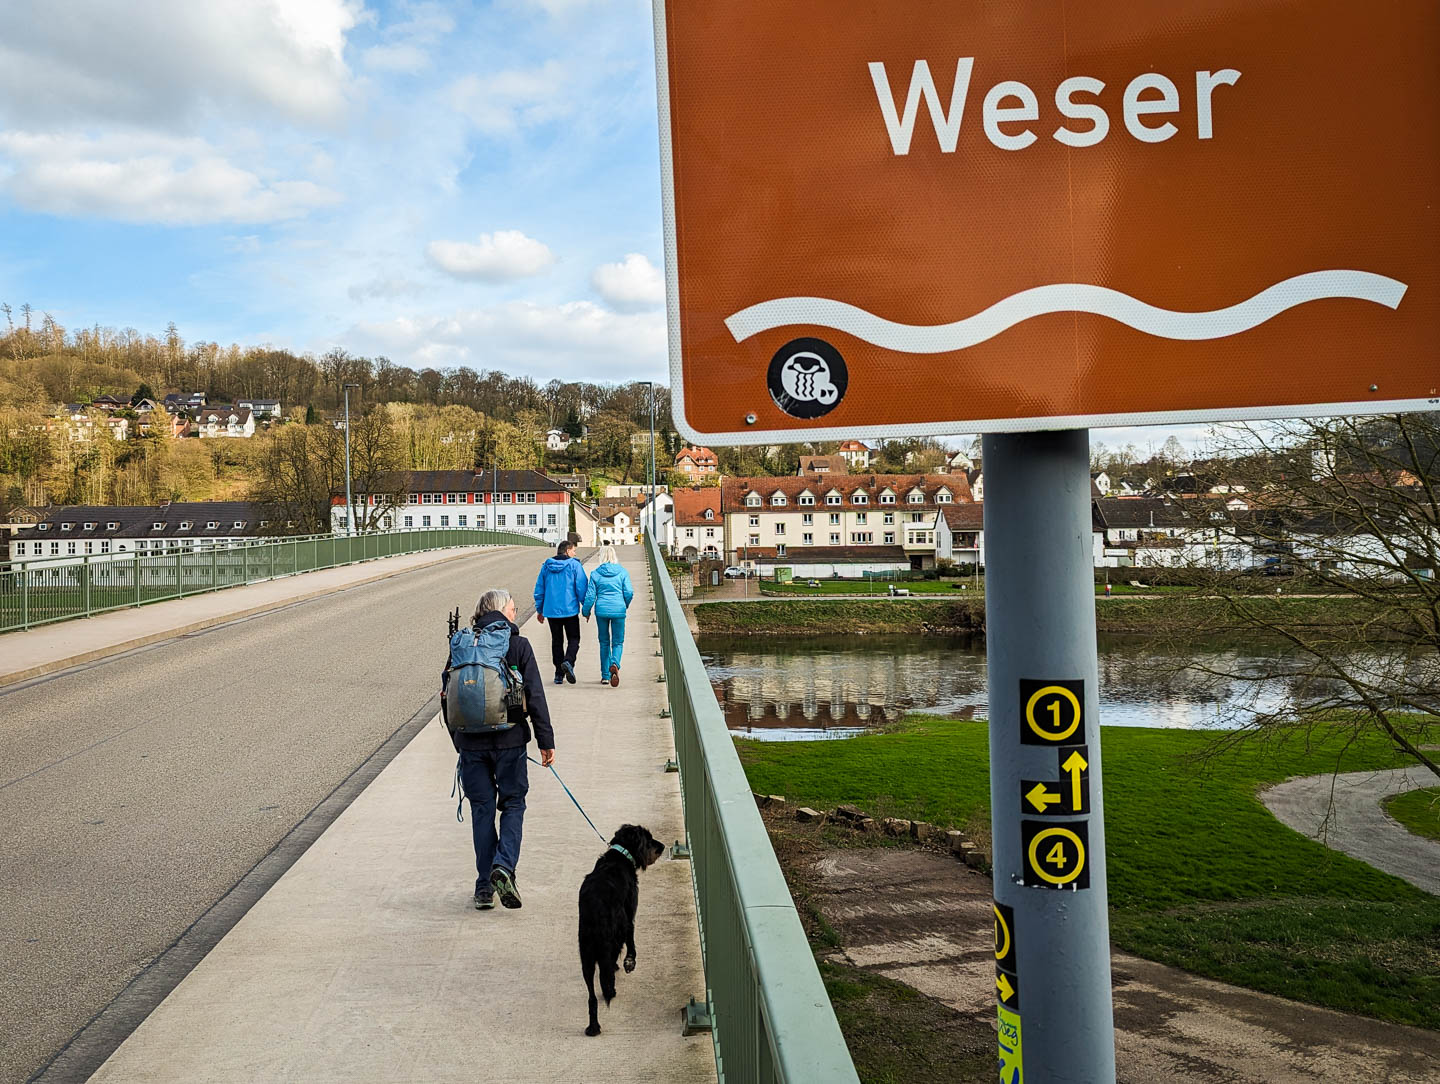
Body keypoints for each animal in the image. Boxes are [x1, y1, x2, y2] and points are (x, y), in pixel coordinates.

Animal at [576, 823, 665, 1036]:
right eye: (648, 838)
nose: (662, 847)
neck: (620, 855)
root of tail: (596, 907)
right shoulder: (629, 914)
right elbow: (631, 941)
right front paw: (629, 963)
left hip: (586, 952)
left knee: (592, 996)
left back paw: (593, 1027)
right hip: (614, 932)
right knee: (607, 969)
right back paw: (611, 989)